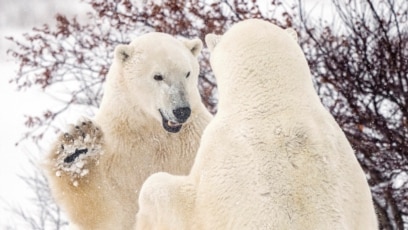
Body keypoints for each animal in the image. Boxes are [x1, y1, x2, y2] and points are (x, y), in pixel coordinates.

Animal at [43, 31, 212, 229]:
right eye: (158, 76)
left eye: (187, 73)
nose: (182, 111)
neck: (154, 131)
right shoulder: (117, 152)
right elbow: (104, 210)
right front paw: (75, 149)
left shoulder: (196, 139)